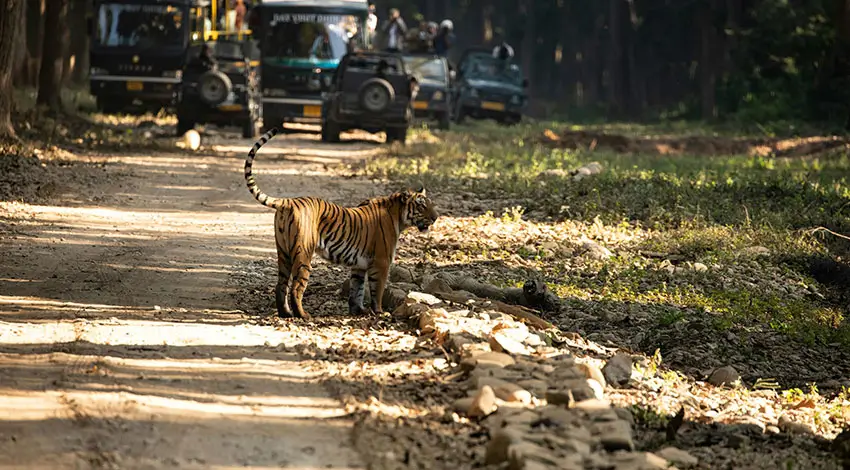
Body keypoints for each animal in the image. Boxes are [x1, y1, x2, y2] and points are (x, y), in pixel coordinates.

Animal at [244, 127, 439, 321]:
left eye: (430, 204)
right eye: (422, 206)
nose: (436, 217)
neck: (398, 216)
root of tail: (288, 201)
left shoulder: (359, 266)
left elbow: (357, 290)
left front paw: (358, 311)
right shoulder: (381, 262)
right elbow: (377, 291)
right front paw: (379, 312)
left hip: (283, 252)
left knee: (281, 285)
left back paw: (285, 313)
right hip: (303, 253)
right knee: (296, 287)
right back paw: (303, 315)